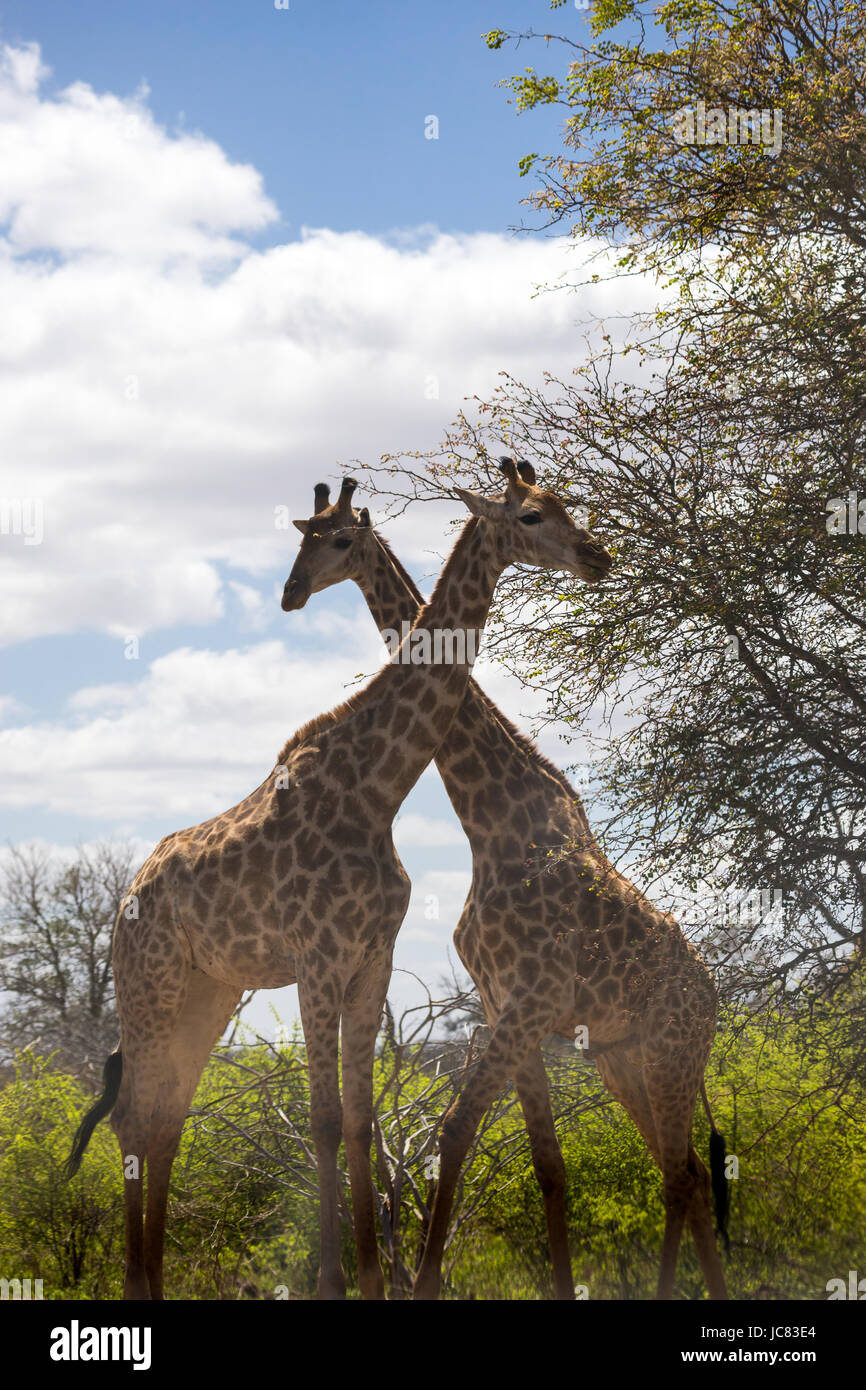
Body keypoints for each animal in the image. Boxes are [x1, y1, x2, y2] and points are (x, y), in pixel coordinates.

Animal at [65, 463, 608, 1301]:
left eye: (563, 507)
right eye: (530, 516)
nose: (596, 557)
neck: (376, 788)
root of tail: (128, 897)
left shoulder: (371, 963)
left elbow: (359, 1120)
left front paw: (372, 1282)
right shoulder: (317, 961)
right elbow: (321, 1121)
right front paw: (329, 1280)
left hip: (208, 990)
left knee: (168, 1115)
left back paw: (151, 1275)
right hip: (146, 982)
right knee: (134, 1116)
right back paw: (136, 1285)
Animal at [284, 460, 729, 1301]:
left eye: (337, 539)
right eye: (529, 515)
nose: (598, 555)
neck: (487, 821)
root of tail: (715, 992)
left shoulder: (531, 1004)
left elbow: (455, 1133)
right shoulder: (505, 1005)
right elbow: (549, 1169)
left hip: (672, 1050)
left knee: (679, 1175)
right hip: (623, 1055)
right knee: (683, 1168)